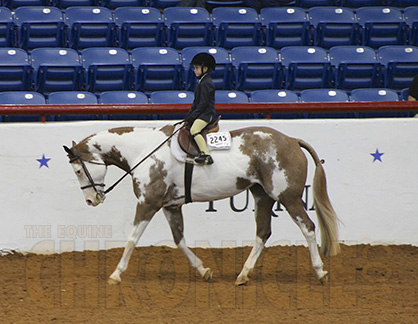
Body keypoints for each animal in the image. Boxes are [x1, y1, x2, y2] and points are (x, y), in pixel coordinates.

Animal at [64, 125, 340, 284]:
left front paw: (115, 275)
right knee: (263, 232)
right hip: (262, 196)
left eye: (78, 170)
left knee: (308, 227)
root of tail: (291, 139)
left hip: (288, 198)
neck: (144, 151)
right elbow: (179, 240)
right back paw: (243, 275)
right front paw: (203, 270)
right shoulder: (170, 206)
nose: (91, 200)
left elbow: (132, 238)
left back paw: (320, 271)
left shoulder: (148, 203)